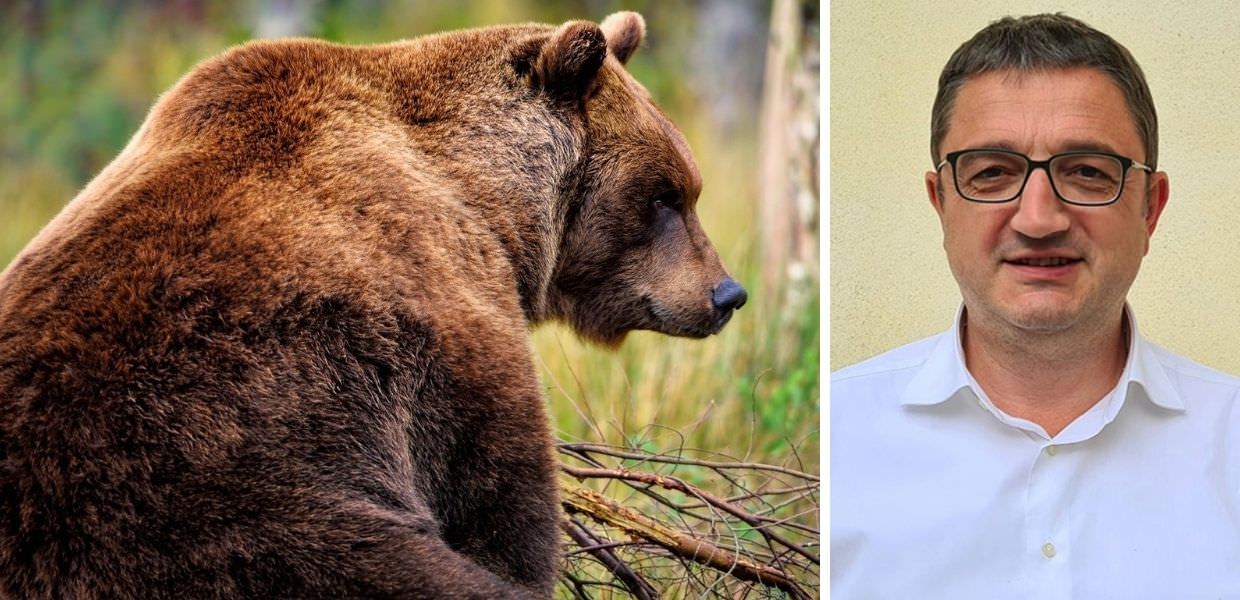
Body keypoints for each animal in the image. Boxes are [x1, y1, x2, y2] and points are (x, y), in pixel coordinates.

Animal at [0, 10, 747, 600]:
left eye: (688, 187)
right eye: (664, 195)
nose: (728, 292)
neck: (490, 200)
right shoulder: (441, 322)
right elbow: (500, 501)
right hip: (212, 510)